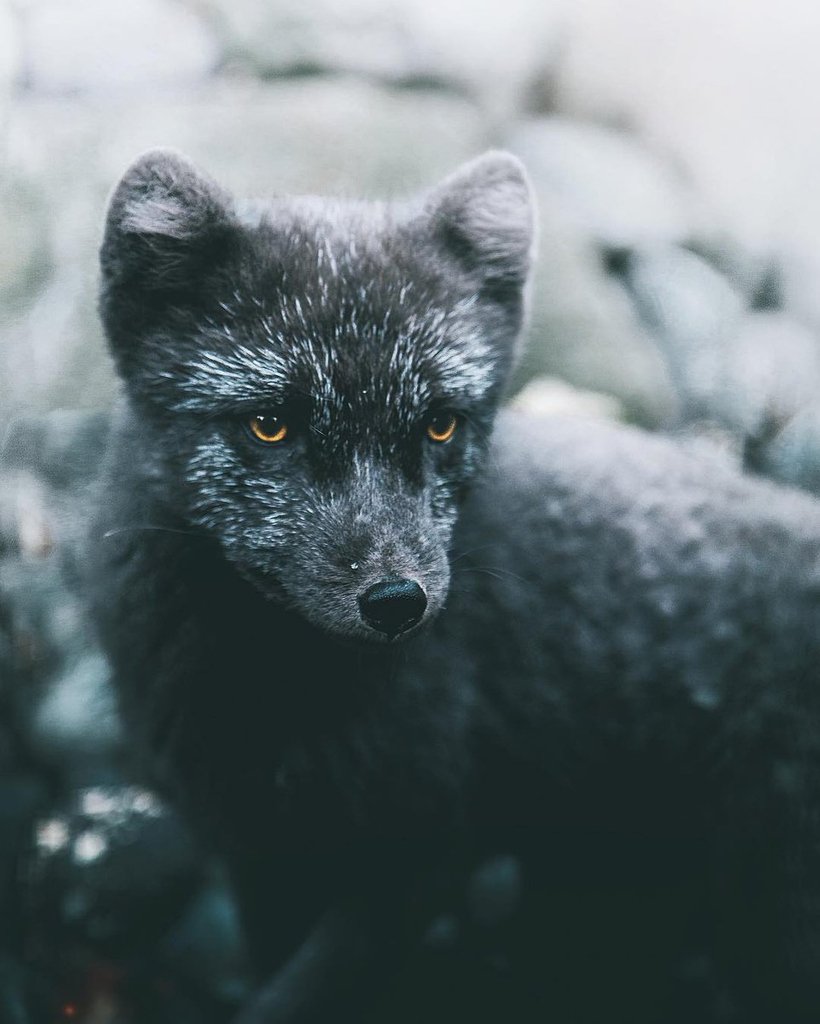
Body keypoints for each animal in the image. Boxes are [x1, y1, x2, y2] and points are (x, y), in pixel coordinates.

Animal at [91, 148, 820, 1019]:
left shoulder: (419, 853)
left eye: (440, 424)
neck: (277, 696)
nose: (397, 602)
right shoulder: (260, 846)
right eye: (270, 426)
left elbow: (293, 997)